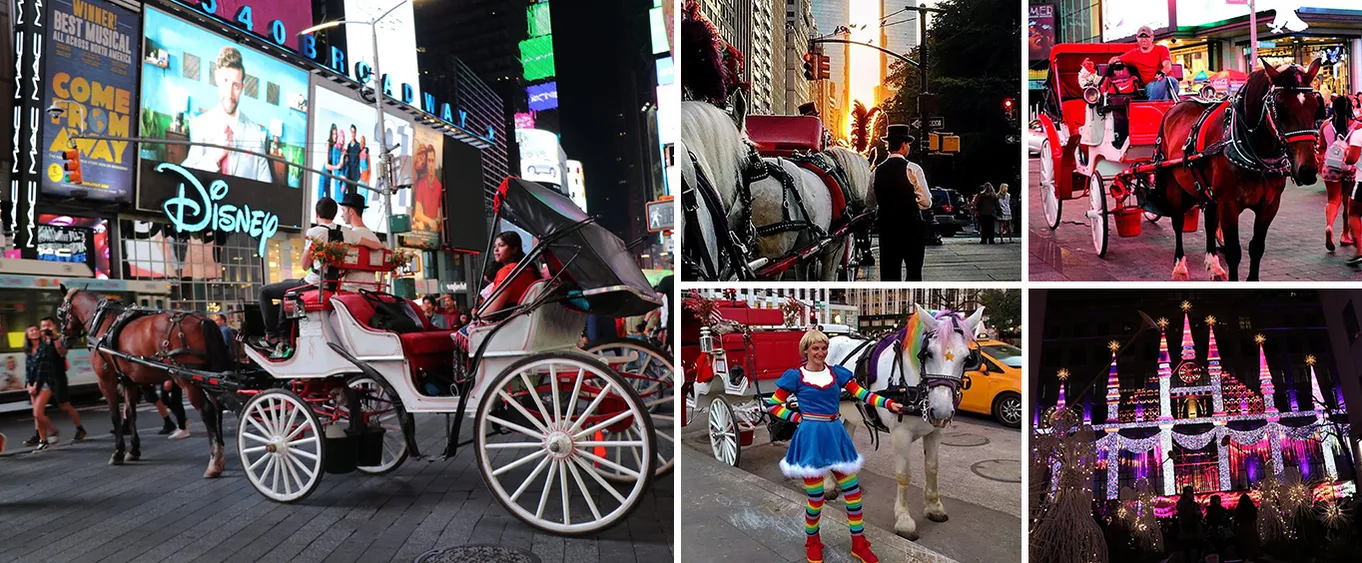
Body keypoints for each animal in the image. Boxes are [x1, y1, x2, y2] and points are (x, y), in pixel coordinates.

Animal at [55, 284, 230, 474]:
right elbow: (131, 414)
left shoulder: (106, 380)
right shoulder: (128, 381)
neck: (103, 324)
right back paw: (219, 449)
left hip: (185, 378)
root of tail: (202, 320)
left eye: (60, 312)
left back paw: (214, 461)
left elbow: (115, 415)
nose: (63, 340)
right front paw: (133, 450)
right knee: (218, 406)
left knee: (207, 410)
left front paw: (118, 452)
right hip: (209, 376)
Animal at [822, 305, 986, 542]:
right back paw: (827, 484)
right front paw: (904, 520)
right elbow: (904, 475)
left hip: (851, 414)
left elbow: (932, 468)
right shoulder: (901, 433)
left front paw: (934, 507)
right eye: (928, 353)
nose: (942, 411)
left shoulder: (935, 432)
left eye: (967, 358)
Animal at [1160, 58, 1318, 279]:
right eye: (1280, 106)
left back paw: (1213, 265)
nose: (1307, 171)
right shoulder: (1228, 205)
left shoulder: (1269, 205)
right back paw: (1180, 267)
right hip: (1173, 185)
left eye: (1315, 105)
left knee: (1209, 223)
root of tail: (1177, 104)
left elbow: (1257, 247)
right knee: (1177, 222)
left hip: (1207, 191)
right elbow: (1234, 253)